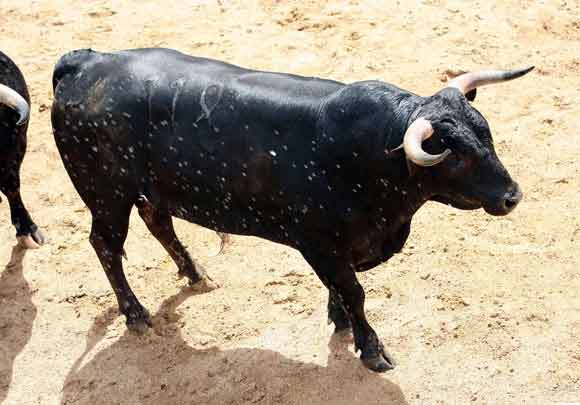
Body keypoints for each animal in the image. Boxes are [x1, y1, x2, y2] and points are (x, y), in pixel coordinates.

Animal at [52, 48, 532, 372]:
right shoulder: (317, 244)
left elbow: (342, 290)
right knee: (106, 246)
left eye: (486, 135)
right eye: (456, 156)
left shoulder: (340, 249)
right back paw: (136, 314)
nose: (512, 196)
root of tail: (85, 63)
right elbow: (354, 291)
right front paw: (370, 349)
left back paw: (196, 274)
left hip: (149, 191)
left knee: (158, 223)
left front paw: (339, 320)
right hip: (106, 194)